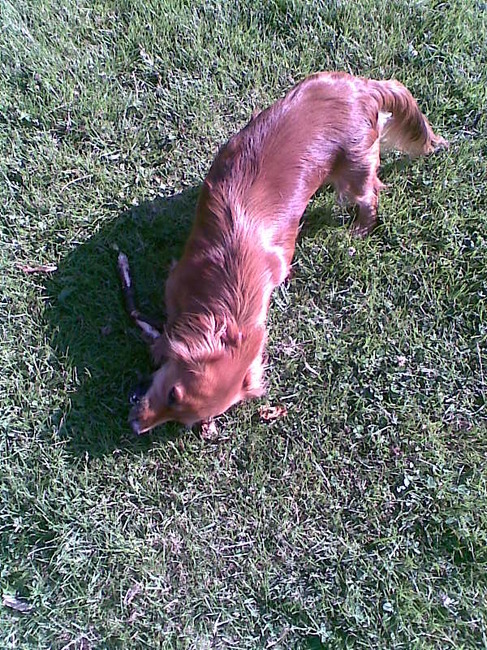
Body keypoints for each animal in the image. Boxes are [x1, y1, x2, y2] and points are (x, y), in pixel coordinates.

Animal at [124, 71, 447, 434]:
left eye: (179, 410)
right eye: (172, 394)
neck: (231, 284)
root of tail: (365, 87)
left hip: (355, 169)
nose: (135, 425)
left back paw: (360, 230)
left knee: (370, 197)